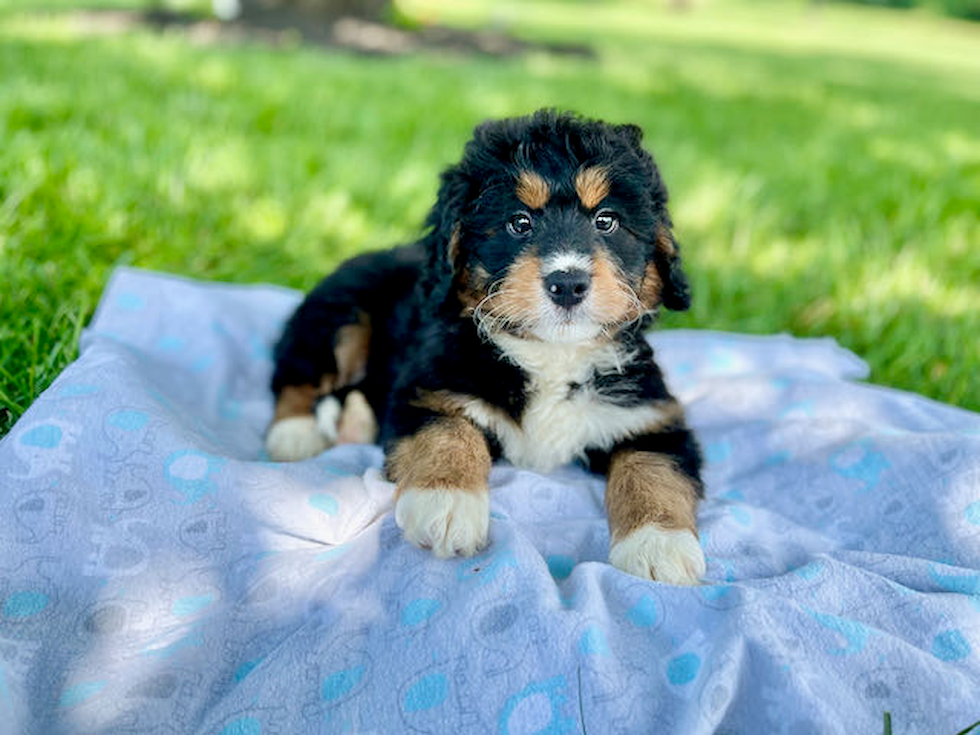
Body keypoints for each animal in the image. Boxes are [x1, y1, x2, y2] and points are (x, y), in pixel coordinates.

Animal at [266, 109, 704, 588]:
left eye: (606, 221)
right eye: (519, 222)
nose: (568, 282)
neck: (550, 356)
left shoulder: (650, 417)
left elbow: (653, 470)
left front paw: (659, 545)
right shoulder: (432, 389)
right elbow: (449, 434)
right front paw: (447, 505)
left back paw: (353, 424)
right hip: (339, 318)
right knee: (296, 377)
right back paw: (294, 434)